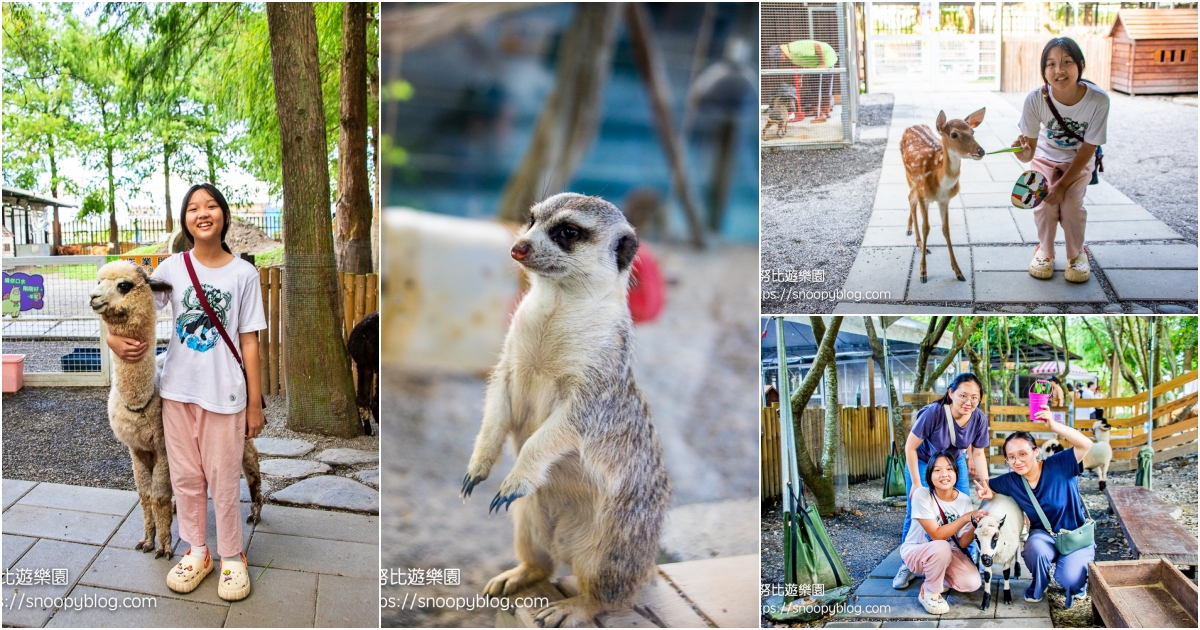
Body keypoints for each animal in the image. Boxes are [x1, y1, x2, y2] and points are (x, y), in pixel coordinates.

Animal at [902, 108, 984, 282]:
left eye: (973, 131)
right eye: (954, 134)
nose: (981, 151)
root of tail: (912, 125)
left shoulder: (945, 200)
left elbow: (946, 229)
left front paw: (958, 271)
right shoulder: (924, 195)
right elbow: (926, 228)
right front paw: (923, 272)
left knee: (910, 198)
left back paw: (911, 231)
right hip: (910, 177)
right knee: (911, 199)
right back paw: (919, 242)